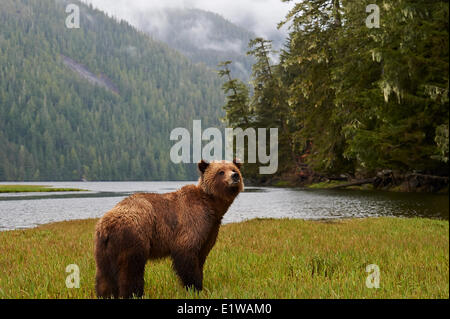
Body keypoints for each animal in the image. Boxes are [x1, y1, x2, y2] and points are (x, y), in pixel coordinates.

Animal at [93, 160, 244, 300]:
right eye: (221, 172)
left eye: (233, 169)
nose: (235, 176)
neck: (212, 206)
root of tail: (106, 225)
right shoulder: (192, 223)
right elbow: (186, 254)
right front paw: (194, 287)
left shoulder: (210, 230)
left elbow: (201, 257)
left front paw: (200, 284)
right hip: (134, 237)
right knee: (131, 270)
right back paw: (134, 294)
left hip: (104, 247)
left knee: (104, 275)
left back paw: (105, 295)